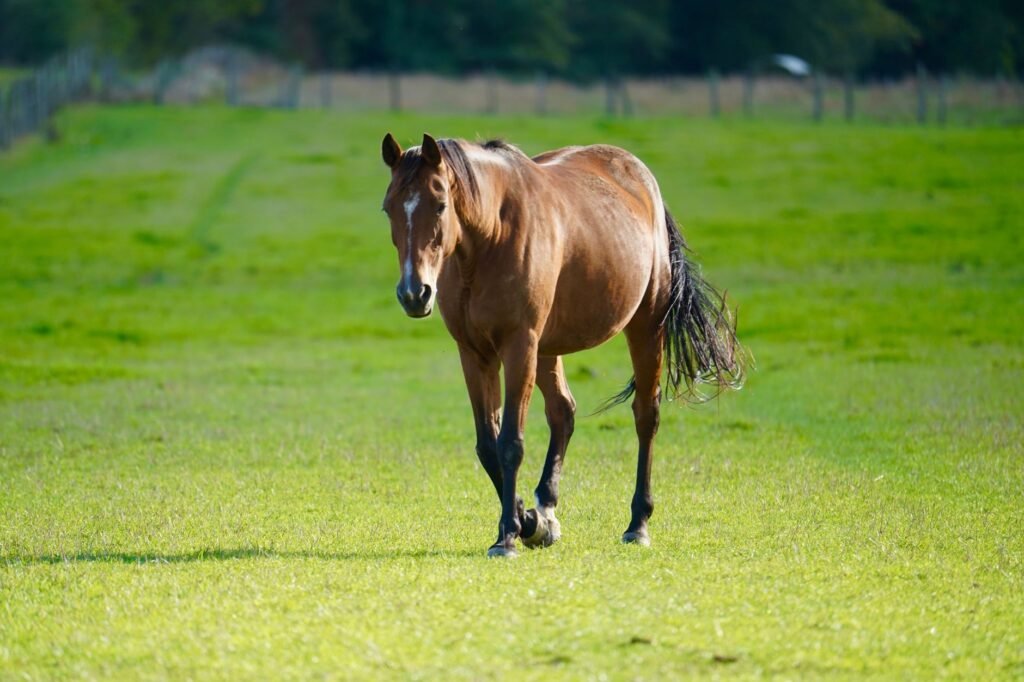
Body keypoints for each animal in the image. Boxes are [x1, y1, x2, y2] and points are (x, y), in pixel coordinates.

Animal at [380, 132, 745, 558]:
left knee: (645, 416)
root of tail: (640, 177)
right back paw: (546, 509)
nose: (414, 293)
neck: (489, 239)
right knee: (563, 413)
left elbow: (510, 443)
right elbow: (488, 445)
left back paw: (637, 523)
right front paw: (529, 520)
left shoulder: (519, 345)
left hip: (643, 328)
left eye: (440, 204)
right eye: (388, 208)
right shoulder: (474, 353)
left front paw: (508, 536)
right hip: (547, 349)